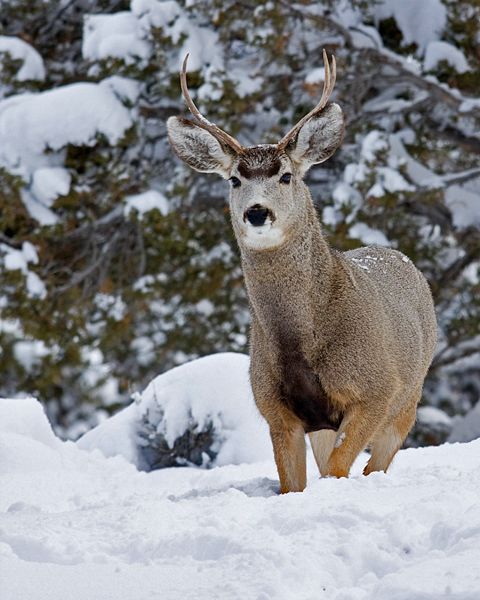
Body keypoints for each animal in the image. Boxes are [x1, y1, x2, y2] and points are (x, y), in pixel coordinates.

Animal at [167, 51, 436, 492]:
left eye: (286, 175)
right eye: (235, 179)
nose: (257, 212)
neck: (301, 342)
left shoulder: (378, 388)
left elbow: (340, 468)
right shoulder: (278, 410)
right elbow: (294, 483)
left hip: (409, 398)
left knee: (378, 464)